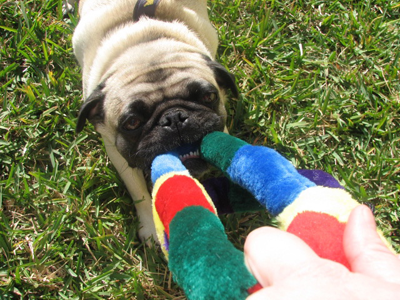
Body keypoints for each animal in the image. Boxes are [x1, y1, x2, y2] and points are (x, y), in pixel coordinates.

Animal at [73, 0, 238, 240]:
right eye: (132, 123)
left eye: (208, 96)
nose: (174, 118)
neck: (145, 45)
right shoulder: (118, 154)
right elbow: (139, 193)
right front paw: (151, 227)